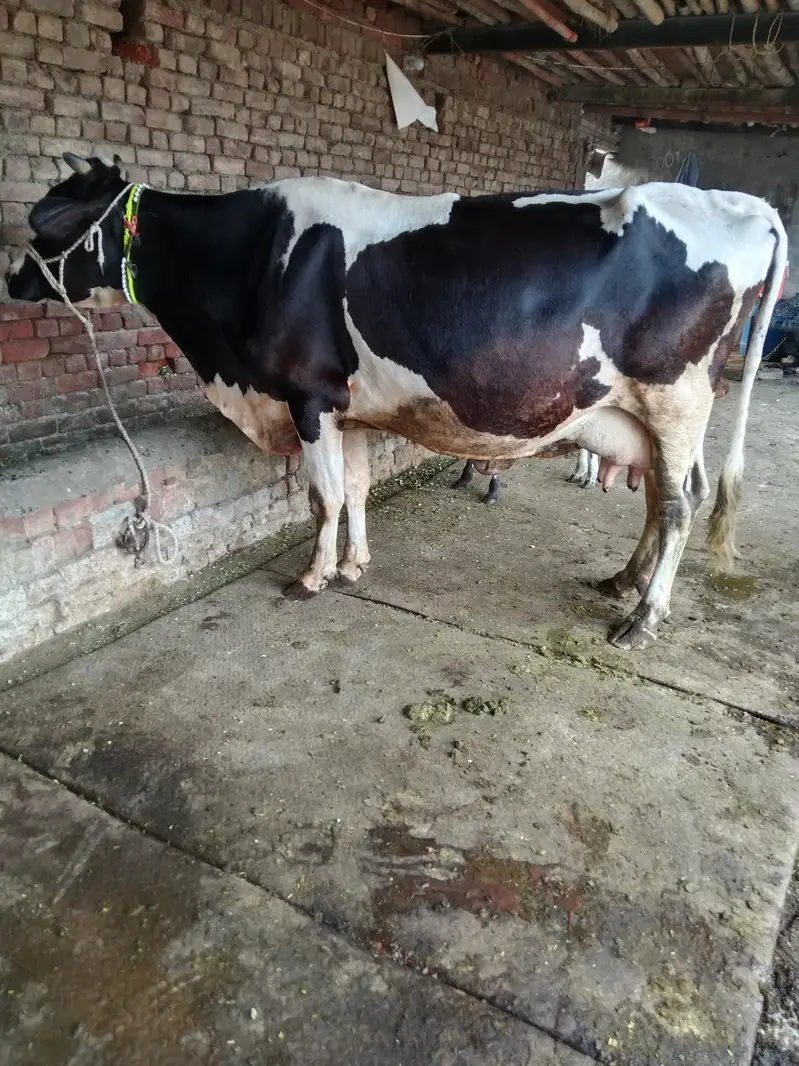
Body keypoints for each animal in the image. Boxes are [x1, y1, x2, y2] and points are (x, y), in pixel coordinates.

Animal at [6, 154, 787, 651]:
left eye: (49, 222)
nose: (14, 280)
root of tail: (745, 204)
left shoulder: (308, 395)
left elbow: (321, 497)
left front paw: (313, 576)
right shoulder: (346, 407)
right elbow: (353, 488)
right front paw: (354, 565)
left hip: (675, 397)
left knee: (682, 504)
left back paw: (642, 620)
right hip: (654, 415)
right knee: (663, 494)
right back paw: (622, 581)